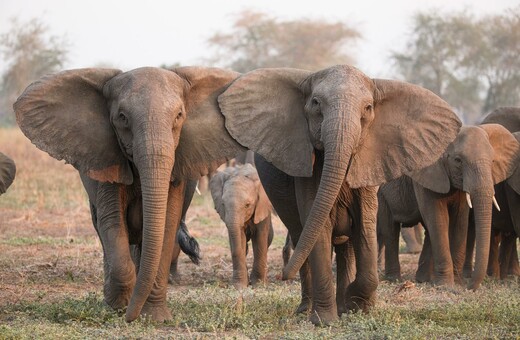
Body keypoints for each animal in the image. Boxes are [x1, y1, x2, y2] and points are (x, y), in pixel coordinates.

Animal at [13, 65, 246, 322]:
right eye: (122, 117)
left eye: (179, 116)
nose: (129, 317)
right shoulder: (107, 159)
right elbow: (112, 222)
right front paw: (119, 307)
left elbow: (167, 225)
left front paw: (154, 317)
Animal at [217, 64, 462, 324]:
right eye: (315, 103)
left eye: (368, 108)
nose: (283, 276)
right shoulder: (308, 169)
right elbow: (319, 227)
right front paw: (324, 321)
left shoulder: (369, 163)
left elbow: (365, 226)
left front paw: (357, 304)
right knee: (301, 236)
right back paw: (307, 309)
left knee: (346, 247)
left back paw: (343, 306)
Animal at [378, 123, 520, 288]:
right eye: (458, 160)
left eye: (492, 161)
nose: (470, 287)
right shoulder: (426, 173)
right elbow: (439, 219)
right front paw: (446, 285)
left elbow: (460, 221)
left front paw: (457, 283)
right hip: (381, 193)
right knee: (390, 231)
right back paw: (394, 279)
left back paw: (423, 279)